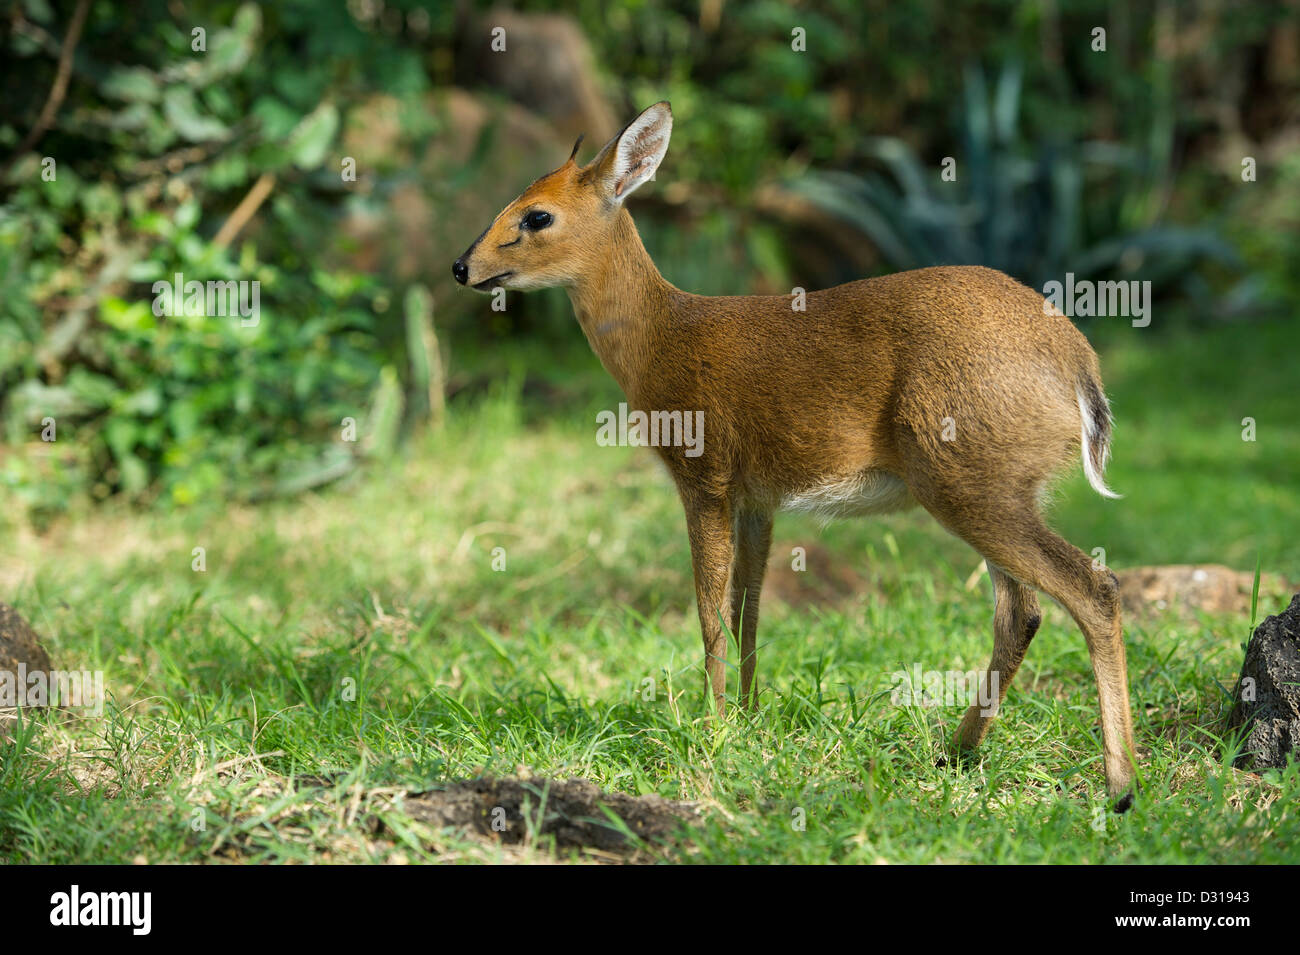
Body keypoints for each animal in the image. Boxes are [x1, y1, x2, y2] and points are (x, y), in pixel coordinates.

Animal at [454, 102, 1138, 805]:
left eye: (537, 215)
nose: (461, 268)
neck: (660, 340)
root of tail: (1079, 364)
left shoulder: (703, 474)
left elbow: (707, 610)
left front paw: (714, 733)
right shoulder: (758, 496)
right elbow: (747, 610)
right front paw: (750, 720)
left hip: (965, 478)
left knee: (1091, 586)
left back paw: (1120, 783)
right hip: (995, 484)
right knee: (1022, 611)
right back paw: (957, 753)